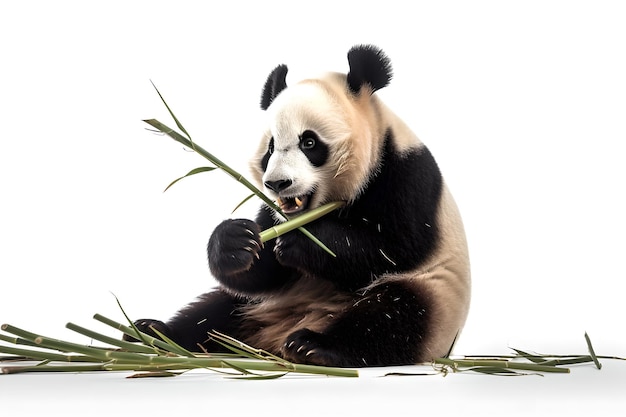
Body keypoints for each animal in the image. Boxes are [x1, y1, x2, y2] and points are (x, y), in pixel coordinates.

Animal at [133, 44, 472, 366]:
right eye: (270, 148)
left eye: (309, 143)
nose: (277, 184)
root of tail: (275, 335)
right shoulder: (273, 213)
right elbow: (262, 272)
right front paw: (237, 240)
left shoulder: (407, 177)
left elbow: (392, 247)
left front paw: (304, 241)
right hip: (257, 304)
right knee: (212, 312)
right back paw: (153, 333)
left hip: (434, 295)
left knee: (393, 315)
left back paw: (314, 347)